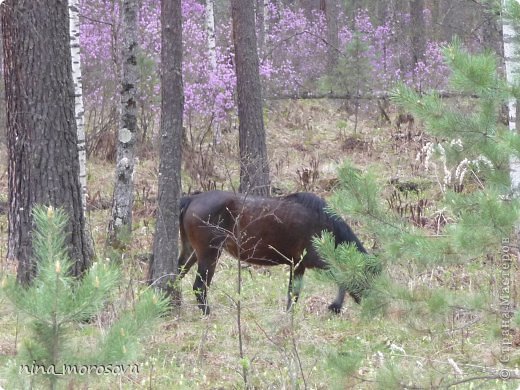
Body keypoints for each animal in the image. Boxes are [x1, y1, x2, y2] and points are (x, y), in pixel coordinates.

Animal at [179, 190, 370, 316]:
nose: (368, 302)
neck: (324, 224)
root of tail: (193, 198)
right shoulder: (310, 261)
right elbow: (341, 277)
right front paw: (335, 306)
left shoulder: (298, 265)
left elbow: (293, 293)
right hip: (209, 254)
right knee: (199, 286)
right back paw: (207, 312)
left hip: (191, 251)